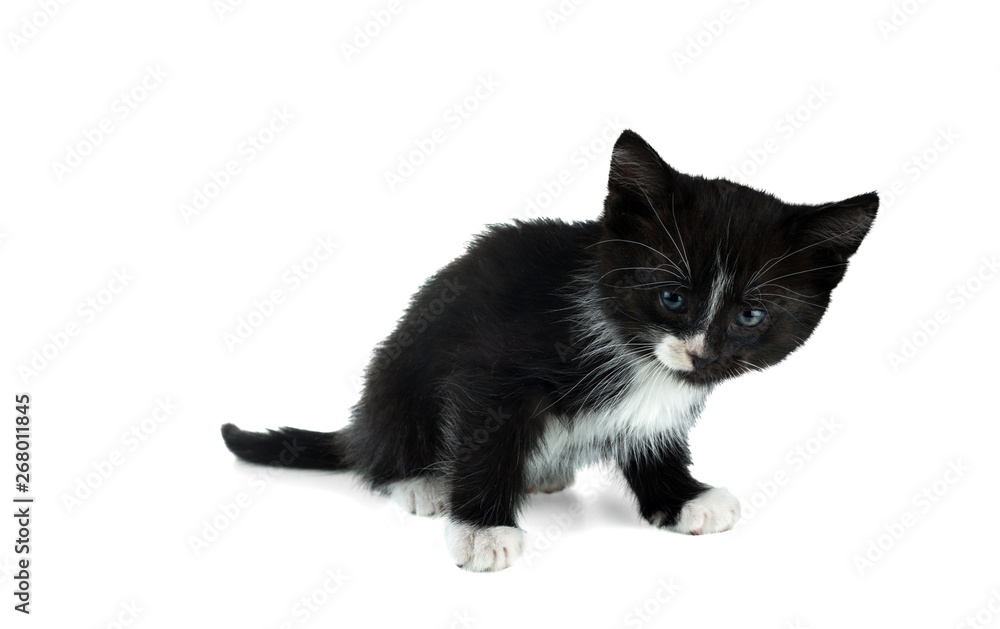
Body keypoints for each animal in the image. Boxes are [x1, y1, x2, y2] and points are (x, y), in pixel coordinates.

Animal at [223, 130, 880, 572]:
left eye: (750, 316)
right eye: (671, 297)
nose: (702, 354)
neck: (631, 351)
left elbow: (652, 433)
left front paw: (680, 497)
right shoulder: (489, 363)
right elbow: (484, 435)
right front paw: (481, 529)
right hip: (397, 370)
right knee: (382, 443)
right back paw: (421, 482)